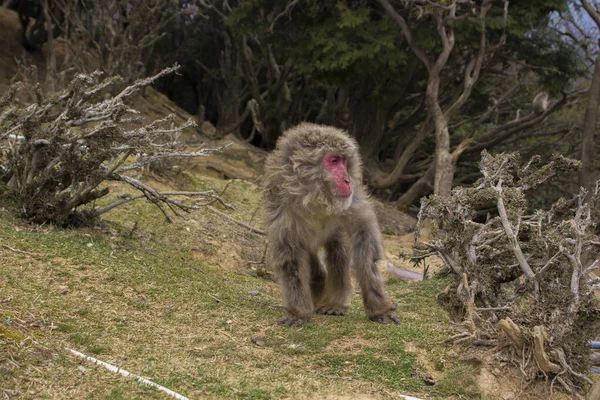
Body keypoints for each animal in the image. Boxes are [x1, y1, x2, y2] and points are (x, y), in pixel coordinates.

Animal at [262, 123, 398, 326]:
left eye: (344, 162)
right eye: (333, 161)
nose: (347, 180)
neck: (316, 196)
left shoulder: (351, 199)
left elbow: (364, 238)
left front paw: (379, 308)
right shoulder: (281, 207)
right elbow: (289, 255)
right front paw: (299, 312)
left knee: (337, 250)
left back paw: (335, 303)